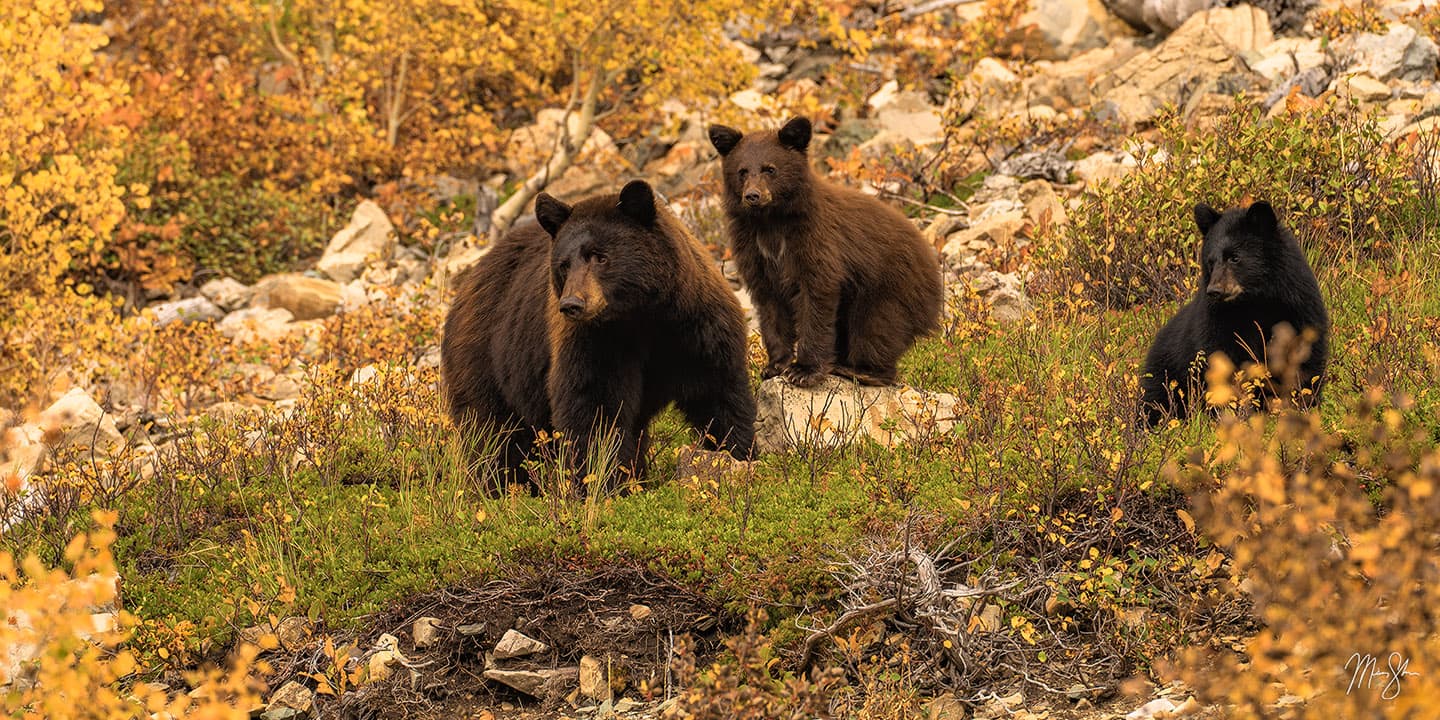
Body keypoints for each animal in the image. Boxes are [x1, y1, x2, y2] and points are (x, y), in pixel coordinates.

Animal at [437, 181, 754, 495]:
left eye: (600, 257)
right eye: (564, 264)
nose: (572, 304)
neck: (640, 317)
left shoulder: (696, 330)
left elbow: (718, 394)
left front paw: (736, 453)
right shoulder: (595, 342)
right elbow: (594, 408)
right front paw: (603, 483)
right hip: (486, 360)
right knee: (494, 432)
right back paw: (499, 487)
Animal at [708, 116, 944, 388]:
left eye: (770, 169)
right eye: (742, 171)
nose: (752, 196)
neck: (771, 222)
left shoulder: (815, 241)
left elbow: (817, 294)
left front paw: (804, 370)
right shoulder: (753, 251)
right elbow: (770, 304)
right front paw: (775, 365)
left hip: (892, 288)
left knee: (875, 328)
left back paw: (859, 370)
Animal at [1140, 201, 1330, 426]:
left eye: (1235, 257)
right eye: (1211, 261)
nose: (1214, 290)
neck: (1255, 302)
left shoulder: (1297, 307)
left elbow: (1304, 355)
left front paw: (1303, 404)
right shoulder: (1217, 323)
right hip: (1165, 376)